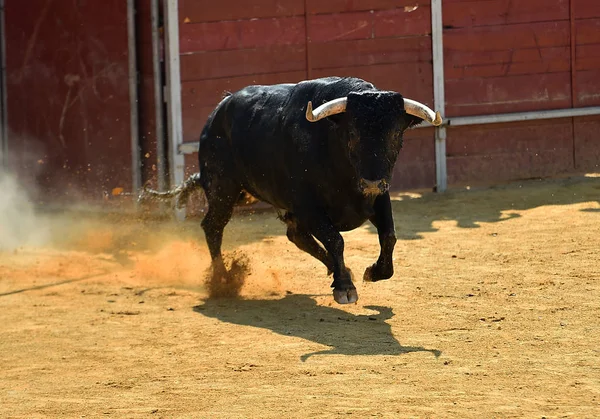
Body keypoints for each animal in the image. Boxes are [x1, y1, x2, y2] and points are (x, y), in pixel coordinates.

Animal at [139, 76, 440, 306]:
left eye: (395, 134)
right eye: (353, 134)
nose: (371, 183)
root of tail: (217, 113)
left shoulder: (379, 199)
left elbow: (389, 236)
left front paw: (371, 272)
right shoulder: (308, 205)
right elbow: (335, 240)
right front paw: (345, 288)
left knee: (296, 235)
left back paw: (337, 269)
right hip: (223, 190)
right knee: (213, 227)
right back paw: (223, 279)